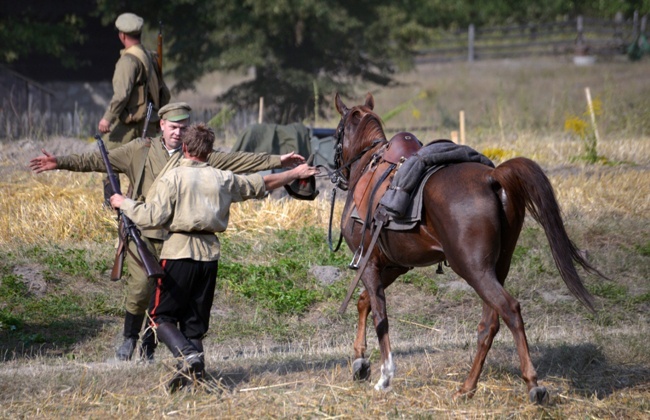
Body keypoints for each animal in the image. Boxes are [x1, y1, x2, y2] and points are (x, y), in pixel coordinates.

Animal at [332, 92, 604, 404]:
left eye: (337, 131)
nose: (335, 172)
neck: (369, 166)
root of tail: (492, 178)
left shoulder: (370, 263)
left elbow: (379, 313)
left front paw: (385, 375)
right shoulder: (393, 265)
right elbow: (364, 301)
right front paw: (360, 361)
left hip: (474, 269)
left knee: (509, 310)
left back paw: (533, 384)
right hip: (496, 268)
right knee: (489, 324)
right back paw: (468, 386)